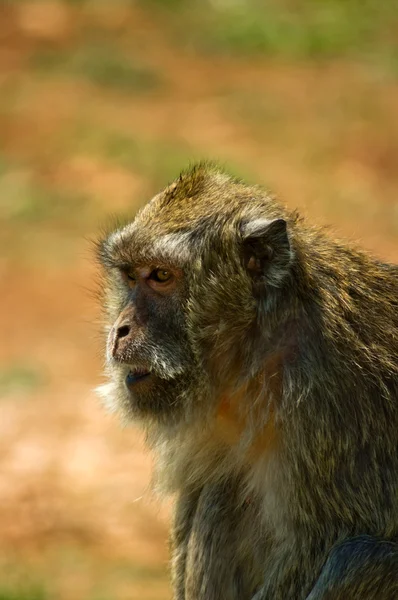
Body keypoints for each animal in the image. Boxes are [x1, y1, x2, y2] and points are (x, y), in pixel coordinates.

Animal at [96, 162, 398, 596]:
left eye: (161, 276)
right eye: (131, 276)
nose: (119, 329)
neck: (261, 337)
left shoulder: (329, 401)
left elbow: (317, 543)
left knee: (362, 559)